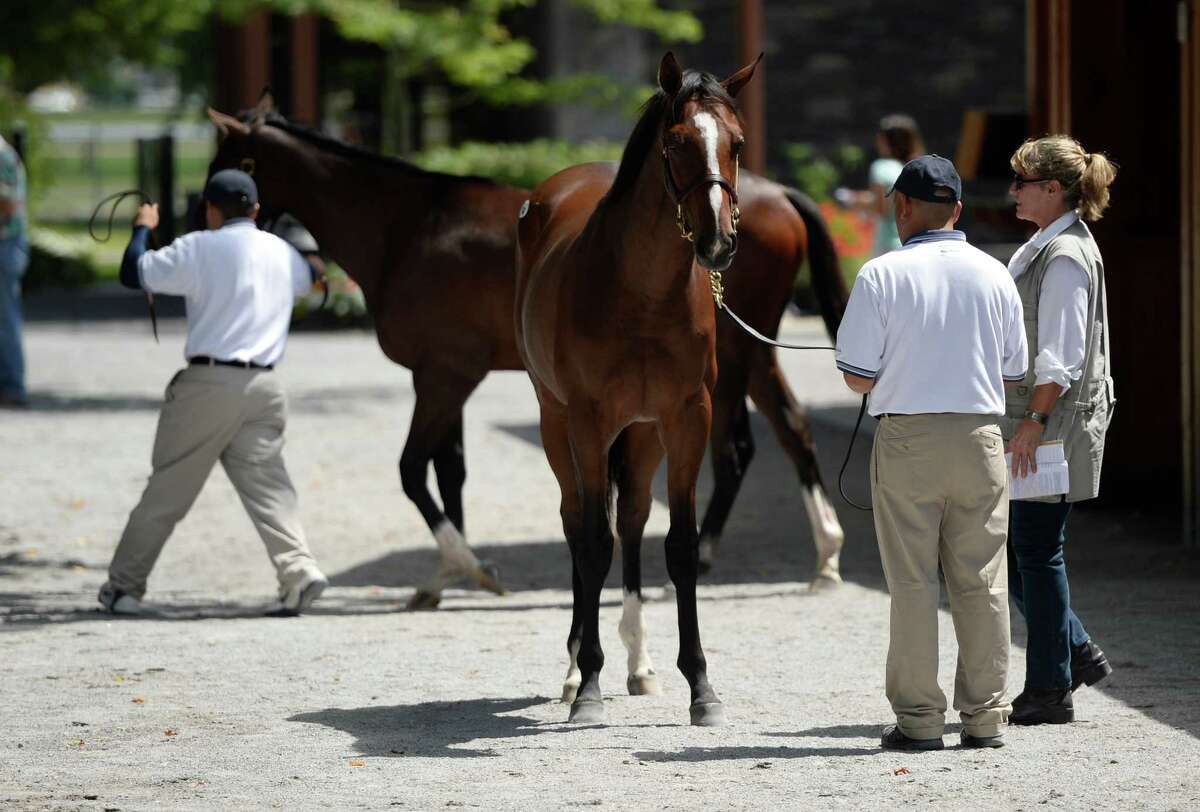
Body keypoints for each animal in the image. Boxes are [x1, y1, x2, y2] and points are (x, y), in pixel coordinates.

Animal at [202, 94, 847, 611]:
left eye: (229, 163)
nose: (197, 216)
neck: (410, 226)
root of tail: (778, 193)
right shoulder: (447, 377)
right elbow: (450, 470)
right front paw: (448, 575)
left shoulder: (444, 376)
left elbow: (414, 469)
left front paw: (468, 567)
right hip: (748, 352)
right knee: (785, 432)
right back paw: (822, 560)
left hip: (735, 356)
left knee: (742, 447)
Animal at [514, 52, 760, 725]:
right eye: (675, 144)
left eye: (737, 143)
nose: (719, 242)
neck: (642, 296)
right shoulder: (589, 421)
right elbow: (592, 543)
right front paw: (589, 687)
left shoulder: (686, 419)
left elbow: (677, 546)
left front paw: (701, 686)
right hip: (556, 424)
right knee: (579, 523)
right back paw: (577, 670)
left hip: (644, 434)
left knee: (630, 522)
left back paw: (639, 664)